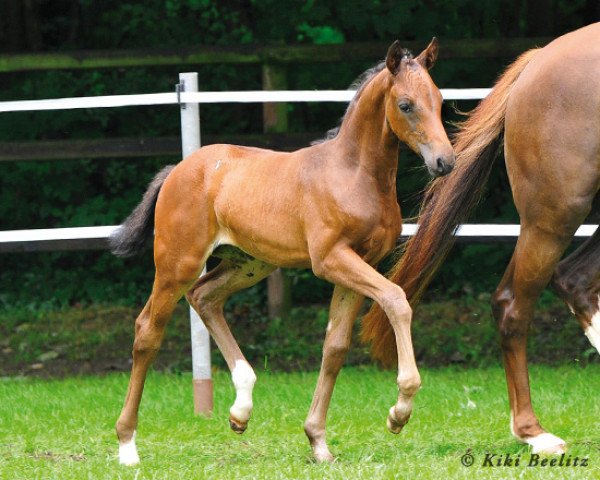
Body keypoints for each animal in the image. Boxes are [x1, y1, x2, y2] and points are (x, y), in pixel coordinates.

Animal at [109, 38, 454, 464]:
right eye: (405, 104)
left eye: (439, 100)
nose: (444, 162)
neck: (354, 174)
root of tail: (176, 169)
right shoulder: (331, 259)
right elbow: (395, 299)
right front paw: (399, 411)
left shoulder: (360, 261)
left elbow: (335, 345)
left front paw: (318, 441)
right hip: (178, 264)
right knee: (147, 331)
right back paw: (127, 444)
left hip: (250, 264)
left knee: (204, 297)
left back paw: (240, 411)